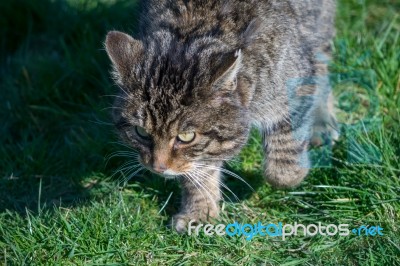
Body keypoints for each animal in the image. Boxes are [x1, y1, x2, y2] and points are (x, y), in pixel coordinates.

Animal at [104, 0, 340, 232]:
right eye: (141, 132)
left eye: (186, 136)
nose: (158, 168)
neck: (194, 27)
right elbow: (198, 172)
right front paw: (199, 211)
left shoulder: (294, 81)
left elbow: (284, 153)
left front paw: (292, 172)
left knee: (322, 63)